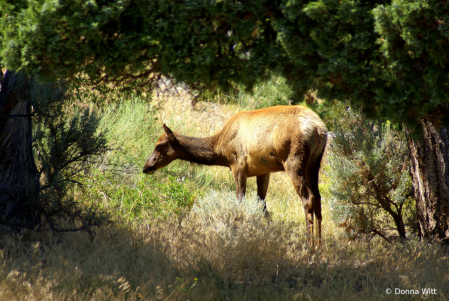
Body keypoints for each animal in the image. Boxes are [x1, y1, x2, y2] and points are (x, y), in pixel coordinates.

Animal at [143, 105, 326, 244]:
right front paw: (270, 231)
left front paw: (238, 232)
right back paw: (319, 246)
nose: (146, 167)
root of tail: (319, 129)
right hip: (314, 164)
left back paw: (309, 248)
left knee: (307, 198)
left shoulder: (238, 165)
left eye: (158, 146)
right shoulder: (263, 170)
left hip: (293, 161)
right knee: (318, 198)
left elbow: (240, 201)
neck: (220, 149)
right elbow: (261, 203)